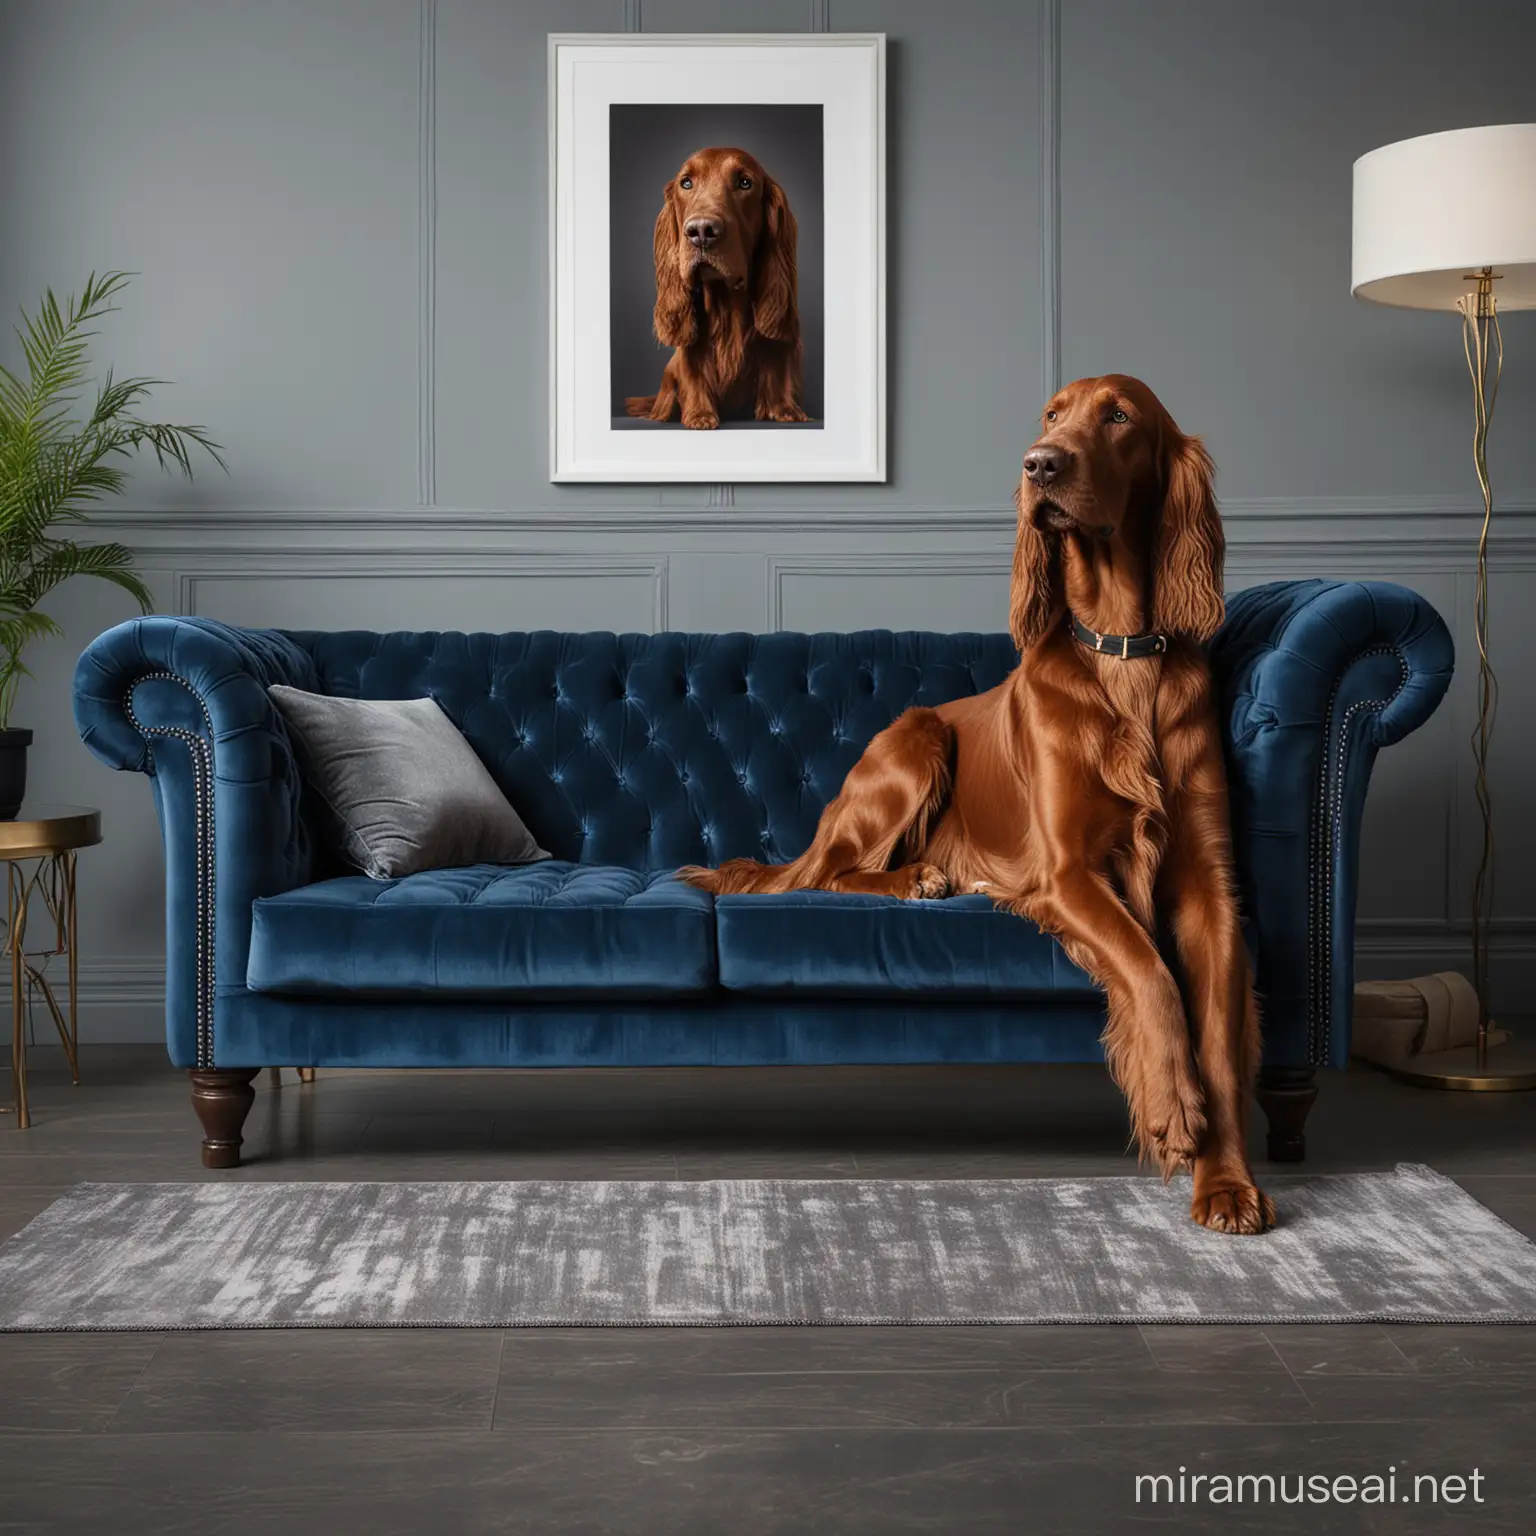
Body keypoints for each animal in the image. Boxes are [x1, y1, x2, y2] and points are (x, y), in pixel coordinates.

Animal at [626, 146, 817, 430]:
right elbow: (692, 370)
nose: (701, 231)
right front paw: (699, 414)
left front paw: (785, 409)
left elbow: (776, 361)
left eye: (745, 183)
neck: (725, 305)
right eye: (686, 183)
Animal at [681, 377, 1271, 1241]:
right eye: (1053, 414)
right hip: (918, 735)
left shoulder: (1209, 888)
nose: (1039, 465)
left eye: (1118, 416)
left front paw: (1225, 1182)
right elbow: (1150, 971)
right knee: (826, 873)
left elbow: (1222, 1032)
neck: (1121, 652)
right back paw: (916, 880)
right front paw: (1172, 1110)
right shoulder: (1067, 873)